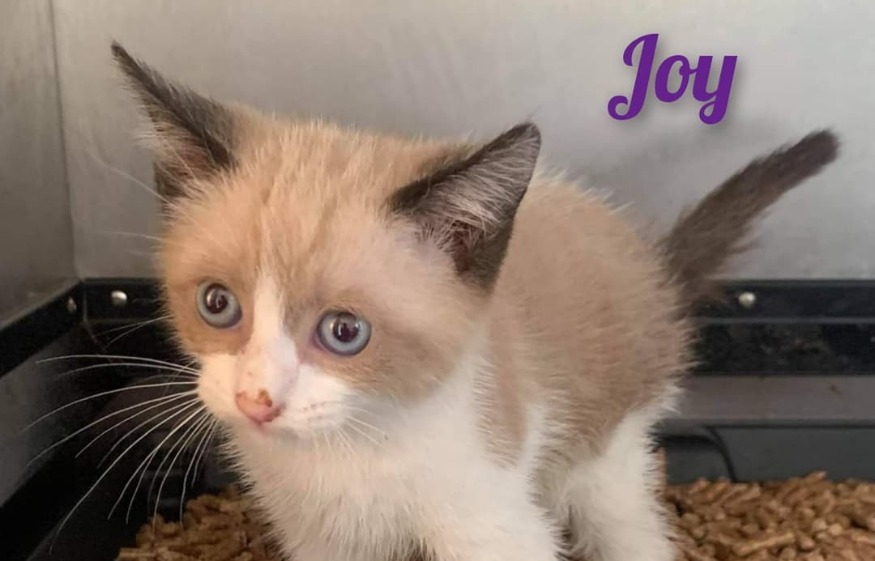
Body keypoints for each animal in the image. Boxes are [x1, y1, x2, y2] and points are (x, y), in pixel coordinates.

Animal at [110, 42, 838, 561]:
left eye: (344, 331)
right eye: (217, 304)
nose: (256, 400)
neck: (351, 447)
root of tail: (648, 262)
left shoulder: (493, 522)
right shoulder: (323, 539)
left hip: (605, 451)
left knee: (631, 529)